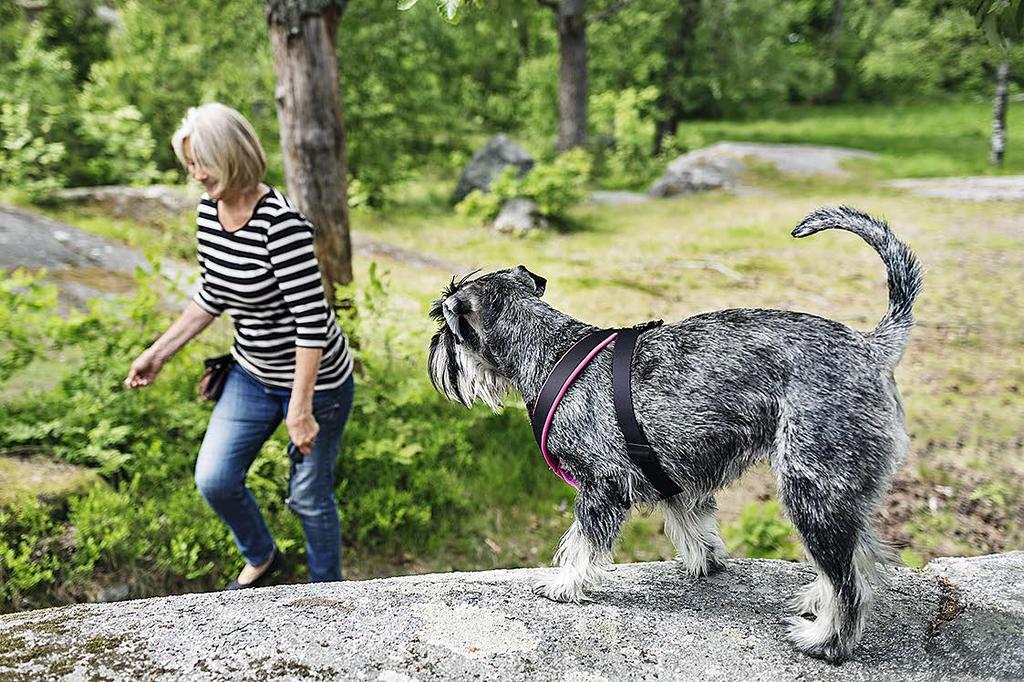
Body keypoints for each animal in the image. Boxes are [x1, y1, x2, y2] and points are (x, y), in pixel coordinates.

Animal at [428, 204, 925, 659]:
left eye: (445, 324)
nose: (433, 351)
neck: (549, 349)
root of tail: (871, 347)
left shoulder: (602, 485)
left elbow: (583, 542)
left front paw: (564, 585)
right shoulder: (670, 476)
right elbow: (693, 525)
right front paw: (707, 562)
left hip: (812, 489)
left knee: (850, 580)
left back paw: (825, 640)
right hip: (837, 491)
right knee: (860, 556)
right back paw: (815, 602)